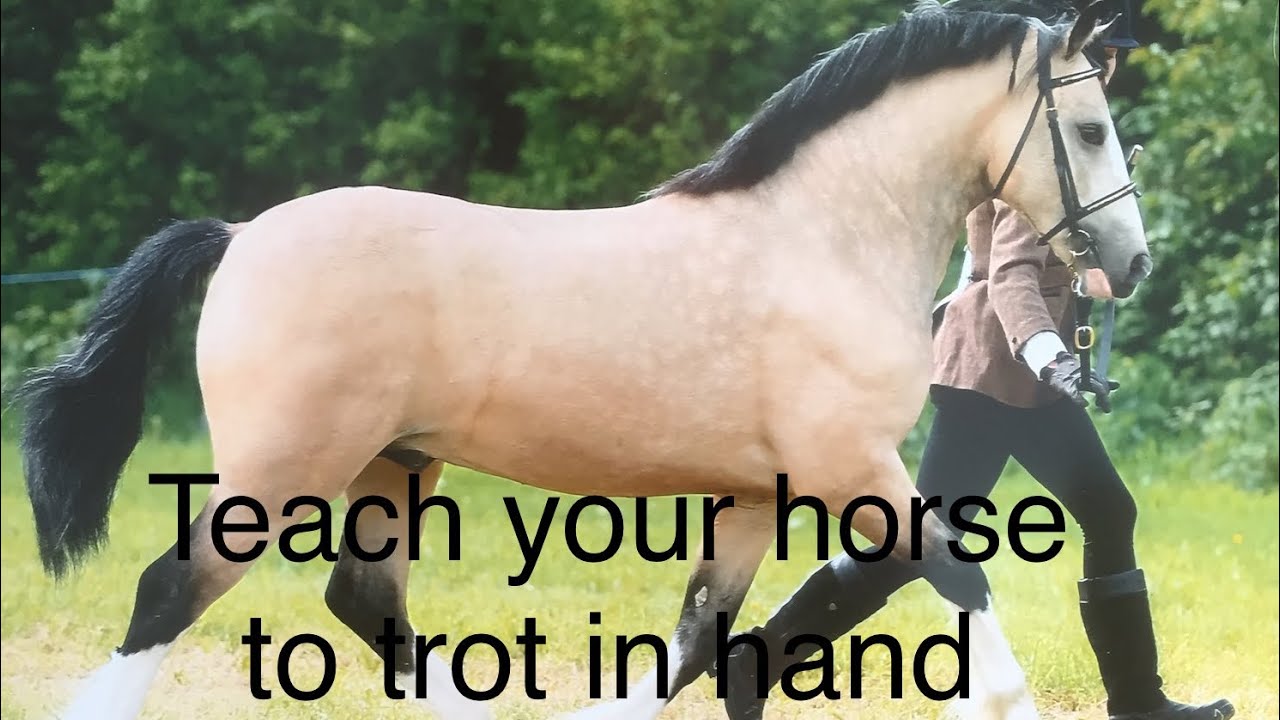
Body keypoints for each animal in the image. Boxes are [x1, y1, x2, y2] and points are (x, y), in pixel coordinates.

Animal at [16, 1, 1148, 718]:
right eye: (1091, 129)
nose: (1130, 264)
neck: (821, 239)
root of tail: (241, 233)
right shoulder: (854, 472)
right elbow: (961, 583)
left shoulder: (757, 494)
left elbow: (701, 646)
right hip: (281, 470)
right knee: (169, 591)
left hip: (397, 464)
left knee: (364, 604)